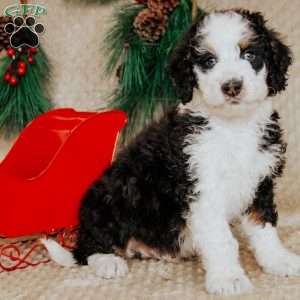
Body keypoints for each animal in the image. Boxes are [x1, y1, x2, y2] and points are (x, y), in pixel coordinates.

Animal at [42, 9, 298, 296]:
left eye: (250, 54)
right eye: (209, 61)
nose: (232, 86)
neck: (233, 127)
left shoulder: (260, 180)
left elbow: (264, 226)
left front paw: (279, 260)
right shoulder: (201, 188)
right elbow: (221, 238)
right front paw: (227, 278)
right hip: (108, 197)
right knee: (91, 245)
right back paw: (108, 261)